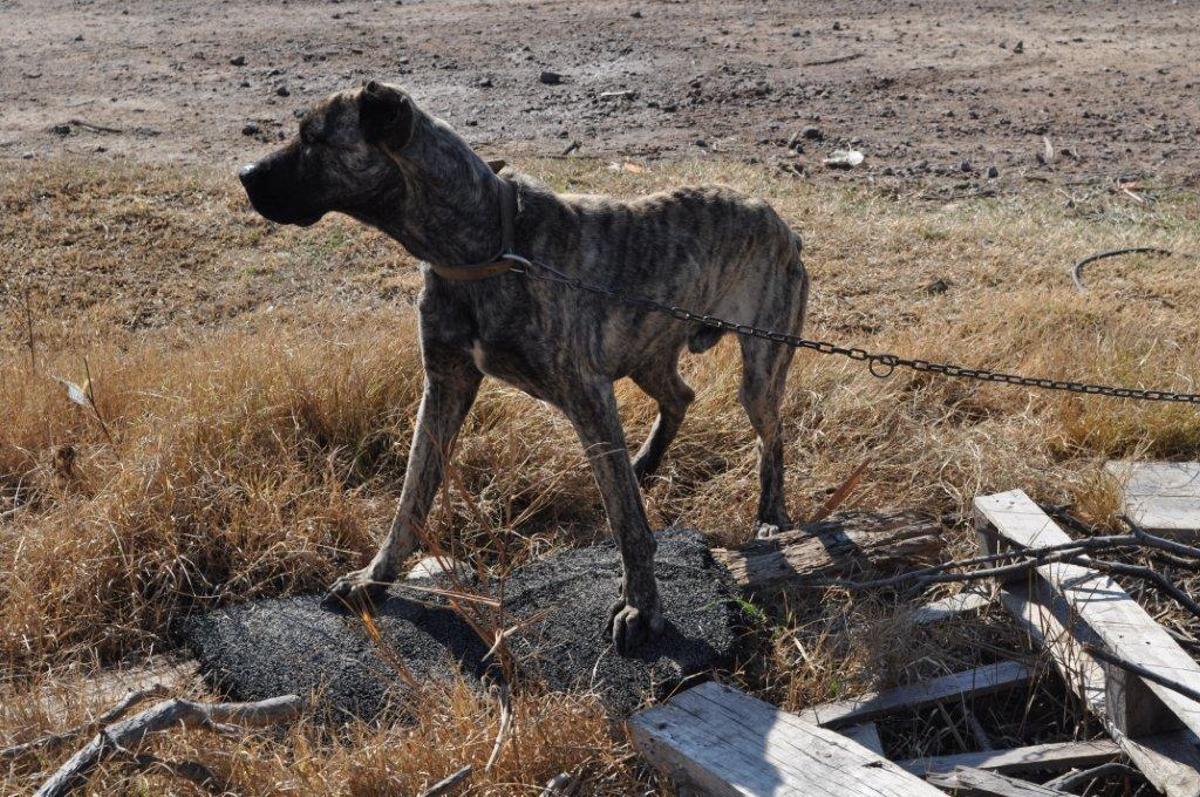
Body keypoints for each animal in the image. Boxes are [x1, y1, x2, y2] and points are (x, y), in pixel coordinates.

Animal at [238, 81, 811, 652]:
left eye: (314, 138)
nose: (243, 174)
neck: (484, 243)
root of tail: (780, 221)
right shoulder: (444, 386)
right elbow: (411, 497)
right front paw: (374, 578)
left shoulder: (588, 398)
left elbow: (626, 519)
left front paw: (642, 606)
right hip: (645, 353)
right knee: (680, 396)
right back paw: (647, 462)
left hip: (759, 368)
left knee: (772, 433)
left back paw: (770, 515)